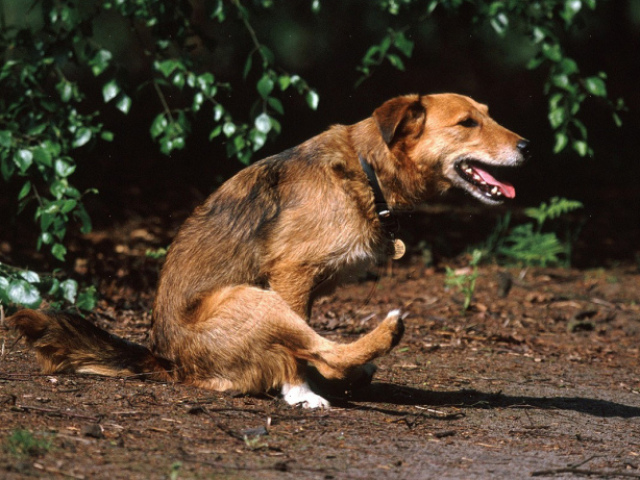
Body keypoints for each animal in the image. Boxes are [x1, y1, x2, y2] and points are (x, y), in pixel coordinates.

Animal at [7, 93, 528, 408]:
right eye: (467, 123)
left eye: (487, 114)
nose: (527, 145)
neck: (366, 171)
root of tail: (170, 364)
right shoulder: (292, 274)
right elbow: (302, 353)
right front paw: (300, 392)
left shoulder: (305, 285)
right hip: (252, 298)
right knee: (317, 347)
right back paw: (373, 344)